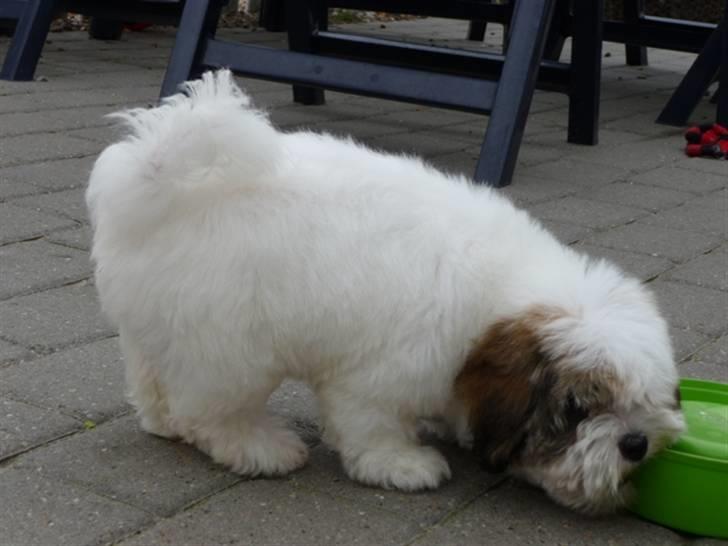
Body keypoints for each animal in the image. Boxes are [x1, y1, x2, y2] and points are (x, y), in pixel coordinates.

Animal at [88, 70, 684, 512]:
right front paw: (401, 464)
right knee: (210, 409)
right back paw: (261, 447)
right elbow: (370, 424)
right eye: (578, 410)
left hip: (164, 322)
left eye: (646, 400)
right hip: (232, 344)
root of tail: (150, 183)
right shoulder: (383, 371)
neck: (495, 299)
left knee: (153, 379)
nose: (636, 444)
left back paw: (161, 420)